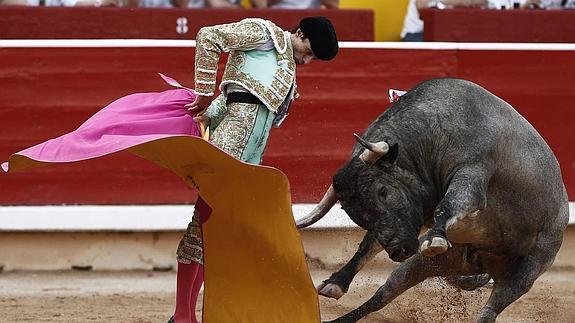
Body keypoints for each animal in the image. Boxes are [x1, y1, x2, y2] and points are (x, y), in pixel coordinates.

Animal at [300, 78, 568, 323]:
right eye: (357, 217)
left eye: (383, 191)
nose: (399, 251)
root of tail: (480, 265)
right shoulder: (410, 215)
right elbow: (368, 245)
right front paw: (335, 282)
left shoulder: (471, 174)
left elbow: (449, 204)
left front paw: (435, 238)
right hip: (424, 264)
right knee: (380, 296)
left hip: (528, 271)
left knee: (490, 311)